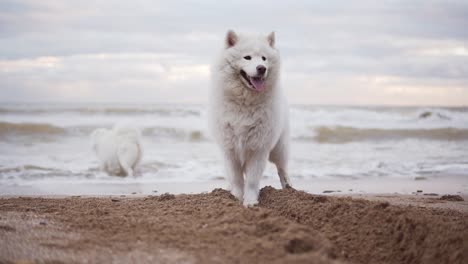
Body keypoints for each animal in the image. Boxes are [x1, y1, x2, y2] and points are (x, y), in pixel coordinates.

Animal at [210, 29, 290, 206]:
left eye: (264, 58)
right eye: (247, 57)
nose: (261, 68)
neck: (245, 102)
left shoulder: (258, 148)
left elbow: (252, 180)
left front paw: (250, 201)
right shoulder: (230, 149)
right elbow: (236, 179)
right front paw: (236, 198)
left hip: (278, 149)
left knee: (282, 168)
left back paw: (289, 187)